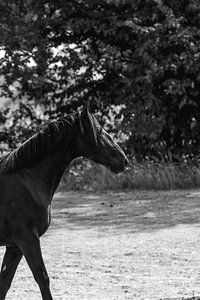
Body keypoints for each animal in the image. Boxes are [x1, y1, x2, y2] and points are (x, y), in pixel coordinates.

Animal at [0, 104, 128, 298]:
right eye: (99, 131)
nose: (124, 160)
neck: (26, 181)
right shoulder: (27, 240)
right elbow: (42, 278)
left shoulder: (14, 246)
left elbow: (4, 283)